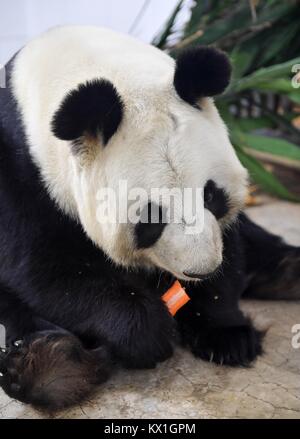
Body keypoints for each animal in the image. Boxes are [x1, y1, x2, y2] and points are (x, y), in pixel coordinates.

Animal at [0, 25, 300, 410]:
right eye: (152, 216)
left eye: (210, 195)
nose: (199, 271)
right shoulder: (20, 176)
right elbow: (47, 271)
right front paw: (148, 332)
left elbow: (229, 245)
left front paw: (227, 333)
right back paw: (53, 368)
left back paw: (287, 273)